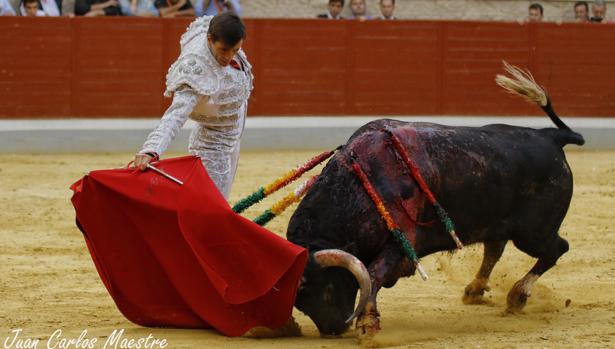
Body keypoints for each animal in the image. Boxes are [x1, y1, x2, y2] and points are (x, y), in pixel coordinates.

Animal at [286, 63, 584, 338]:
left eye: (322, 287)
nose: (333, 329)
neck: (360, 184)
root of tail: (551, 137)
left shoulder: (402, 242)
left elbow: (373, 273)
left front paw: (368, 324)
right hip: (499, 223)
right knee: (494, 249)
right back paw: (475, 290)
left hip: (533, 233)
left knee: (556, 249)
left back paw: (517, 296)